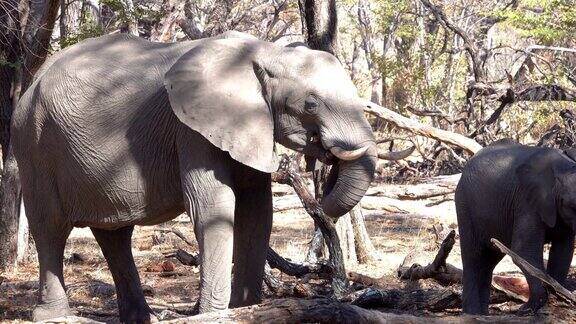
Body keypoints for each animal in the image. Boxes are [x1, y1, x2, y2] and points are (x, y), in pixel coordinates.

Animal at [11, 31, 384, 322]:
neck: (264, 51)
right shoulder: (191, 128)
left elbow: (257, 210)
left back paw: (140, 318)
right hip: (34, 143)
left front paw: (246, 310)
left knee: (114, 233)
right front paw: (213, 314)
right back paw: (53, 316)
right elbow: (214, 205)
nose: (325, 159)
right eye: (311, 104)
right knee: (50, 227)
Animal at [454, 139, 576, 314]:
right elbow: (523, 250)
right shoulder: (526, 202)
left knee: (488, 261)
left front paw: (558, 298)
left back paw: (483, 314)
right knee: (473, 257)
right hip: (464, 205)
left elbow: (563, 251)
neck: (561, 167)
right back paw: (473, 314)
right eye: (572, 206)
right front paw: (528, 309)